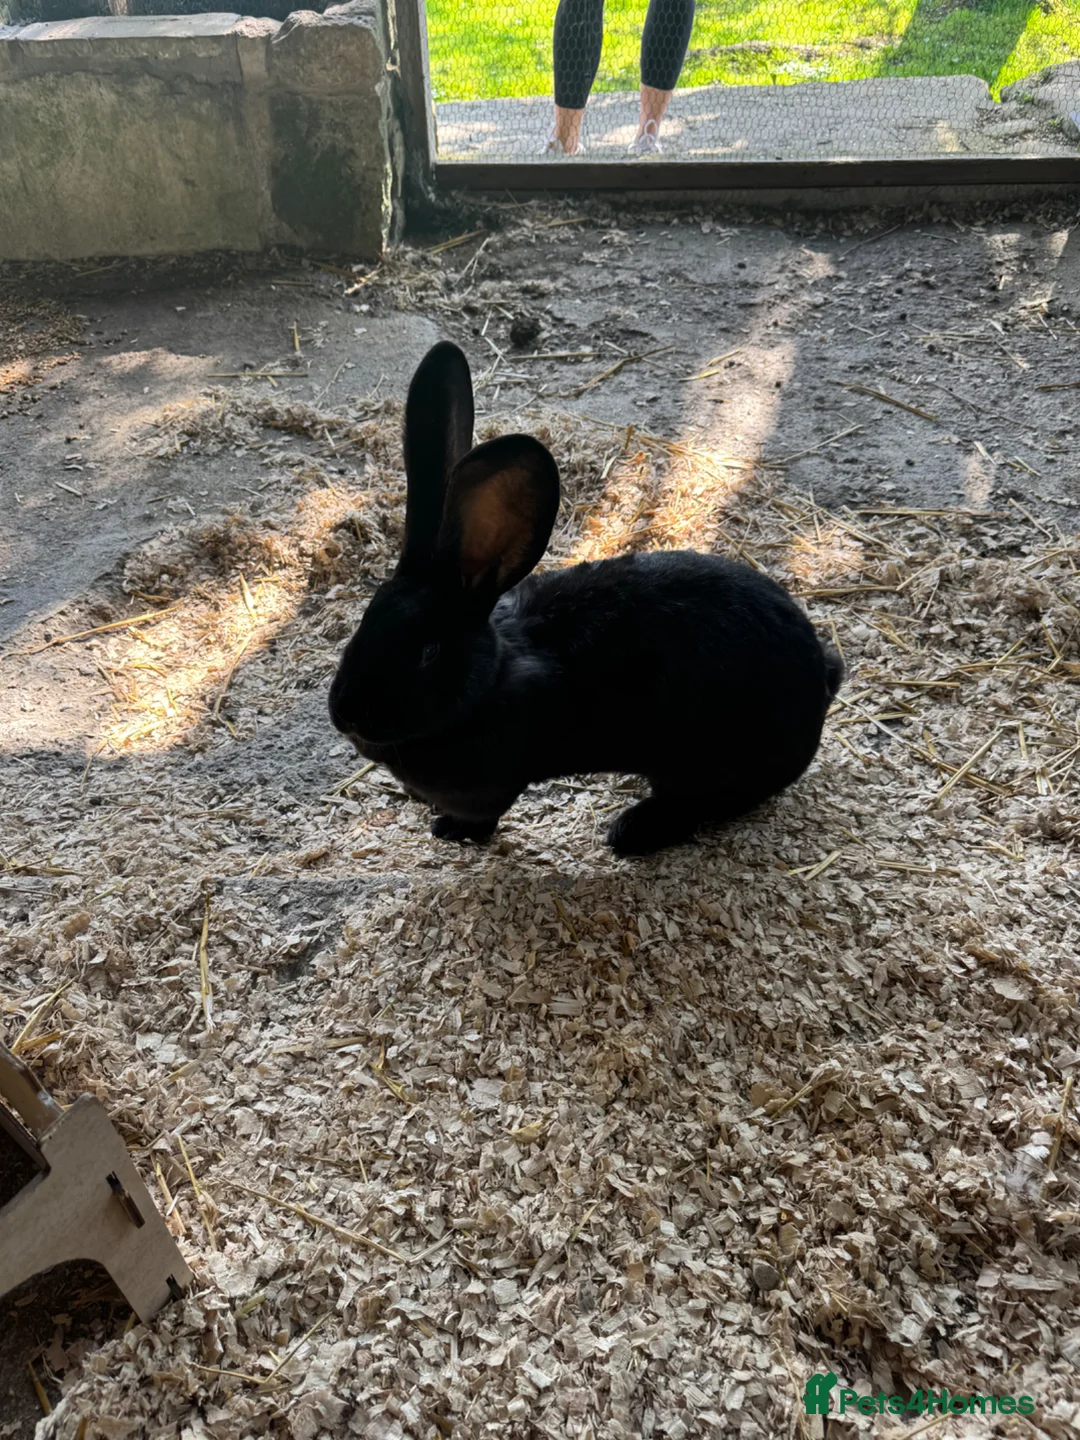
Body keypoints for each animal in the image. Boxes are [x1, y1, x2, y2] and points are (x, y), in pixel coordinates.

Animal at [328, 340, 844, 856]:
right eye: (363, 623)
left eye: (428, 652)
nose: (344, 713)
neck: (490, 681)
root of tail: (821, 678)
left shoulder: (490, 786)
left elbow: (484, 816)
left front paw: (450, 829)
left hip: (706, 764)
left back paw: (632, 830)